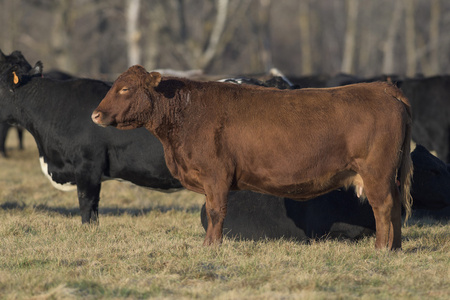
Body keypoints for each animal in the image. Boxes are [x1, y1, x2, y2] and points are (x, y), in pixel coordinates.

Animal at [93, 65, 414, 251]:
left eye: (125, 88)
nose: (96, 114)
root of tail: (382, 87)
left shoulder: (216, 176)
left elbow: (215, 212)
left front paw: (212, 246)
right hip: (388, 175)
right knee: (396, 206)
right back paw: (395, 247)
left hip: (376, 173)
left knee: (383, 207)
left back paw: (381, 248)